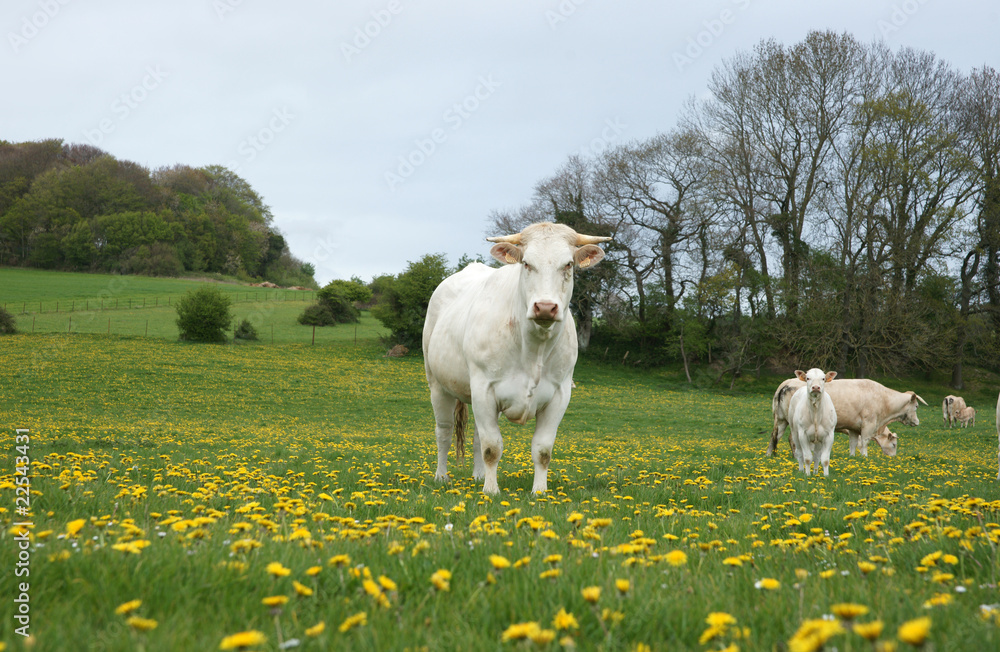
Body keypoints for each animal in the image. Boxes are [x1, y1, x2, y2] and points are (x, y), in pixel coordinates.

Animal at [422, 222, 610, 495]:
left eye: (568, 264)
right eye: (526, 263)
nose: (545, 307)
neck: (534, 350)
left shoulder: (560, 394)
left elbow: (542, 450)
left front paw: (539, 491)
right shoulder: (484, 388)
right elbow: (492, 447)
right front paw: (491, 491)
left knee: (476, 436)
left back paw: (478, 476)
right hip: (437, 384)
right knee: (444, 432)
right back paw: (441, 476)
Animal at [767, 377, 927, 457]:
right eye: (917, 406)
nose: (917, 421)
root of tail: (786, 384)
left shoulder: (853, 428)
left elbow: (853, 444)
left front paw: (852, 457)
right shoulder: (868, 425)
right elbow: (864, 443)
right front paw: (864, 457)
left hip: (780, 420)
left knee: (775, 436)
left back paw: (770, 455)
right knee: (791, 439)